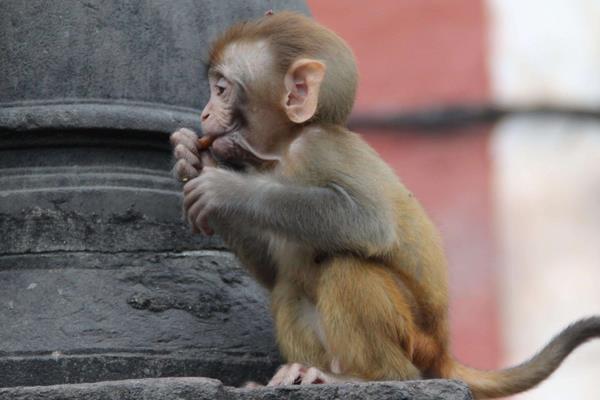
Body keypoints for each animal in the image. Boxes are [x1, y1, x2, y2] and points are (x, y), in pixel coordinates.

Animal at [169, 10, 600, 398]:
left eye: (221, 89)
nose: (204, 112)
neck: (281, 152)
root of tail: (443, 351)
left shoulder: (319, 148)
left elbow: (366, 221)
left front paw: (225, 188)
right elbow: (271, 270)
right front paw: (194, 159)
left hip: (414, 340)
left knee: (346, 268)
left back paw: (370, 378)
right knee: (288, 286)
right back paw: (304, 371)